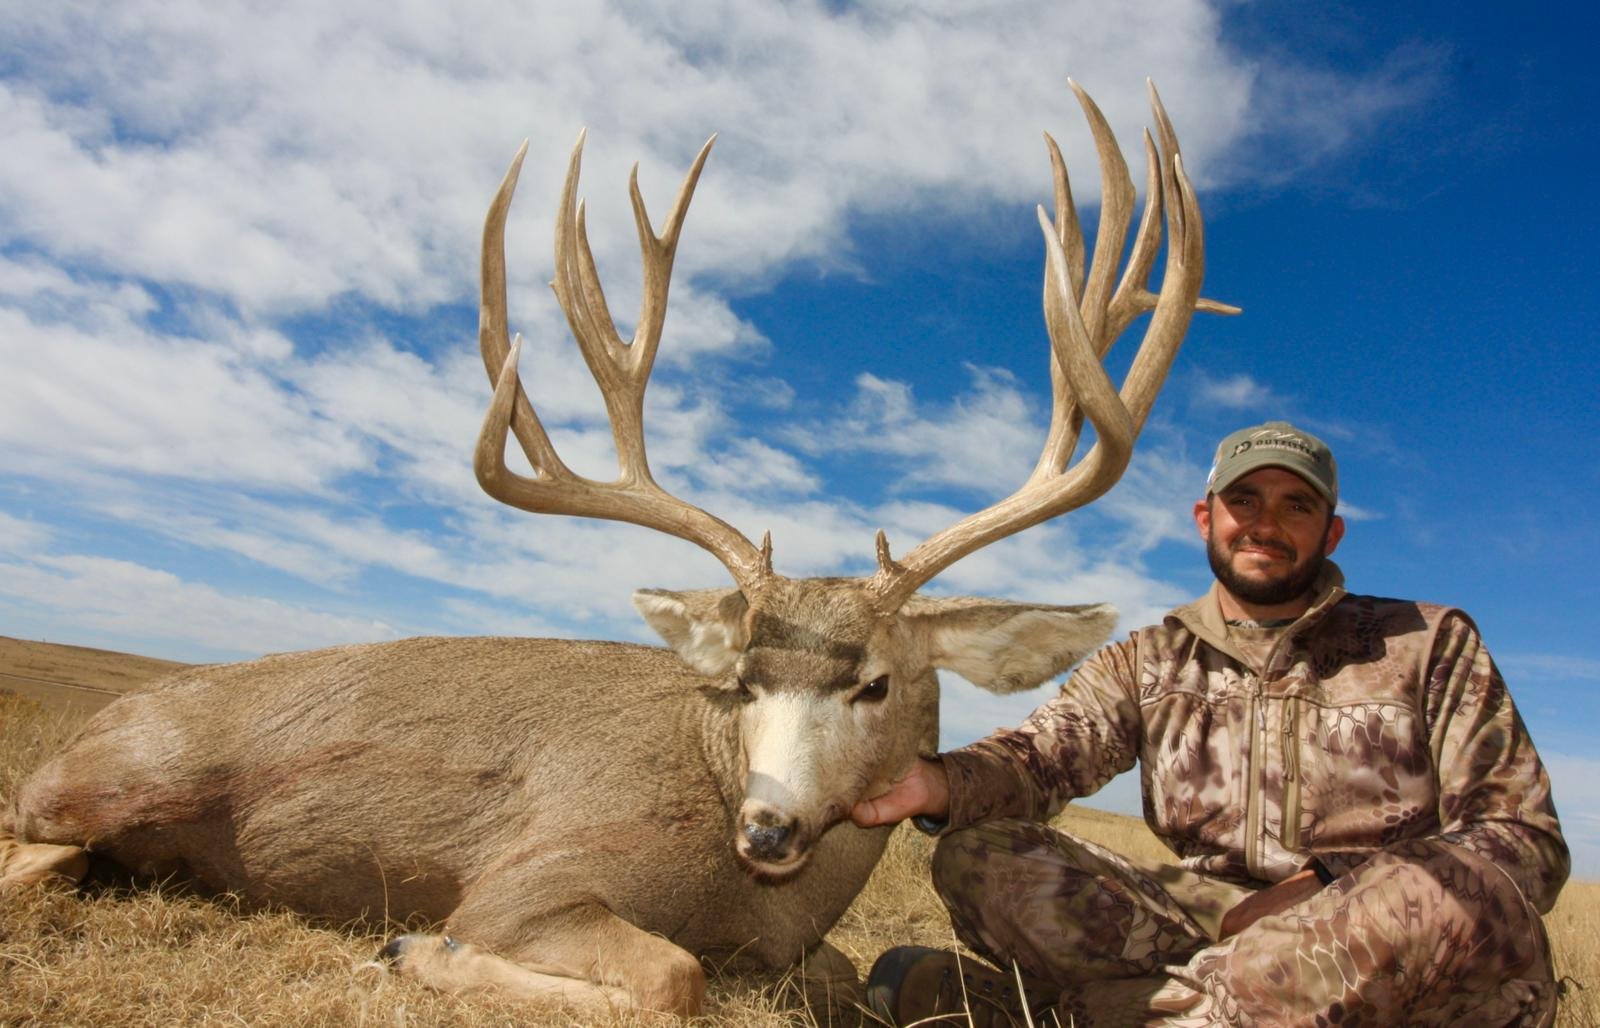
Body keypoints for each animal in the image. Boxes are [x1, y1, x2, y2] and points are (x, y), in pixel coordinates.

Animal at [1, 81, 1236, 1019]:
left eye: (878, 681)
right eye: (740, 679)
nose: (767, 824)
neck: (754, 889)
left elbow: (838, 975)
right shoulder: (531, 877)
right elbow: (670, 975)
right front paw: (415, 950)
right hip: (110, 781)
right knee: (31, 853)